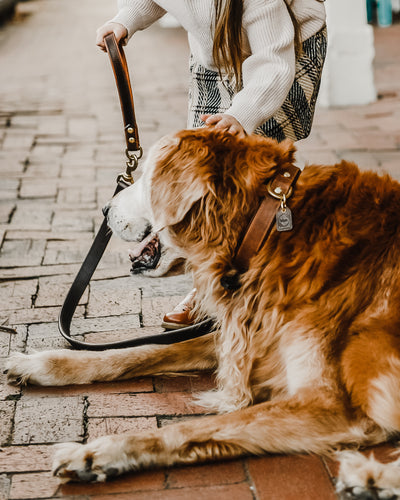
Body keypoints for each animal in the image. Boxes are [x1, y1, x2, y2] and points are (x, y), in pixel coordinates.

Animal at [4, 127, 400, 494]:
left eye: (147, 177)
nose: (104, 209)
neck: (268, 228)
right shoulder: (250, 338)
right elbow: (140, 351)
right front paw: (44, 363)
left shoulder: (329, 404)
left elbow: (189, 427)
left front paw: (95, 453)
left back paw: (372, 477)